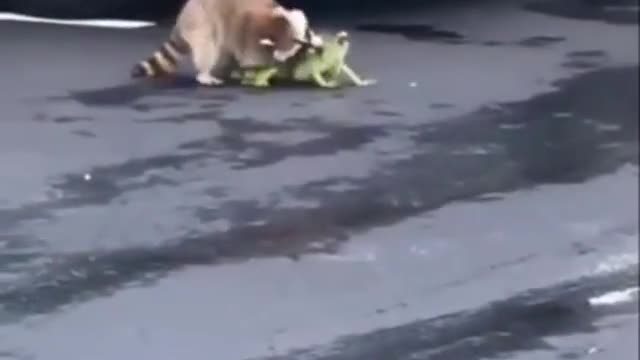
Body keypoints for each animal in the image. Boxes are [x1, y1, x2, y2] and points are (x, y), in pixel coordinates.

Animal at [131, 0, 312, 86]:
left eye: (307, 36)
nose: (309, 49)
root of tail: (181, 18)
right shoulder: (250, 37)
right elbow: (252, 60)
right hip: (201, 23)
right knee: (208, 49)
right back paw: (205, 75)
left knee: (225, 52)